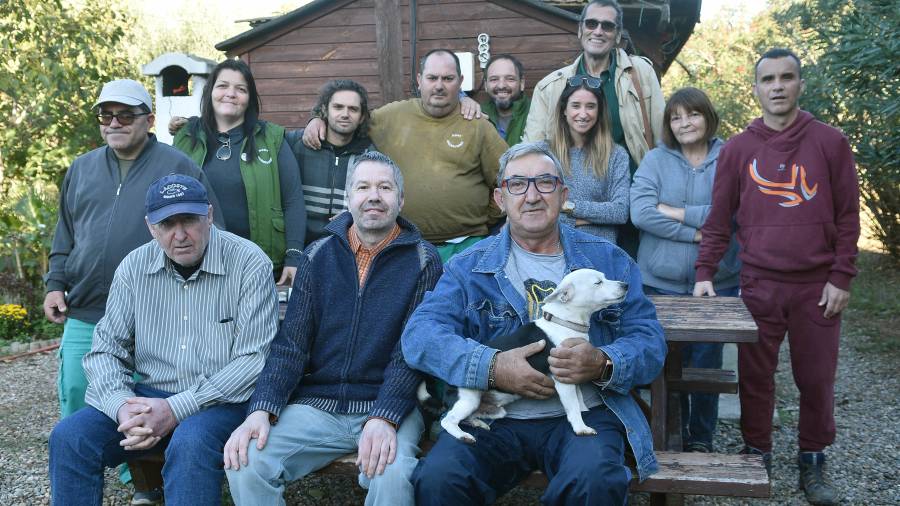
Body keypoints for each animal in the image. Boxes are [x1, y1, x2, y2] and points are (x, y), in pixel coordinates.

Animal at [436, 268, 624, 442]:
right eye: (598, 282)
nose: (625, 285)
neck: (564, 322)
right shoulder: (563, 382)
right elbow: (573, 408)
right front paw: (581, 428)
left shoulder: (572, 376)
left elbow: (580, 401)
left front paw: (585, 412)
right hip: (468, 400)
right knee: (448, 421)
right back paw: (463, 435)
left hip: (495, 410)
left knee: (469, 417)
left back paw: (477, 423)